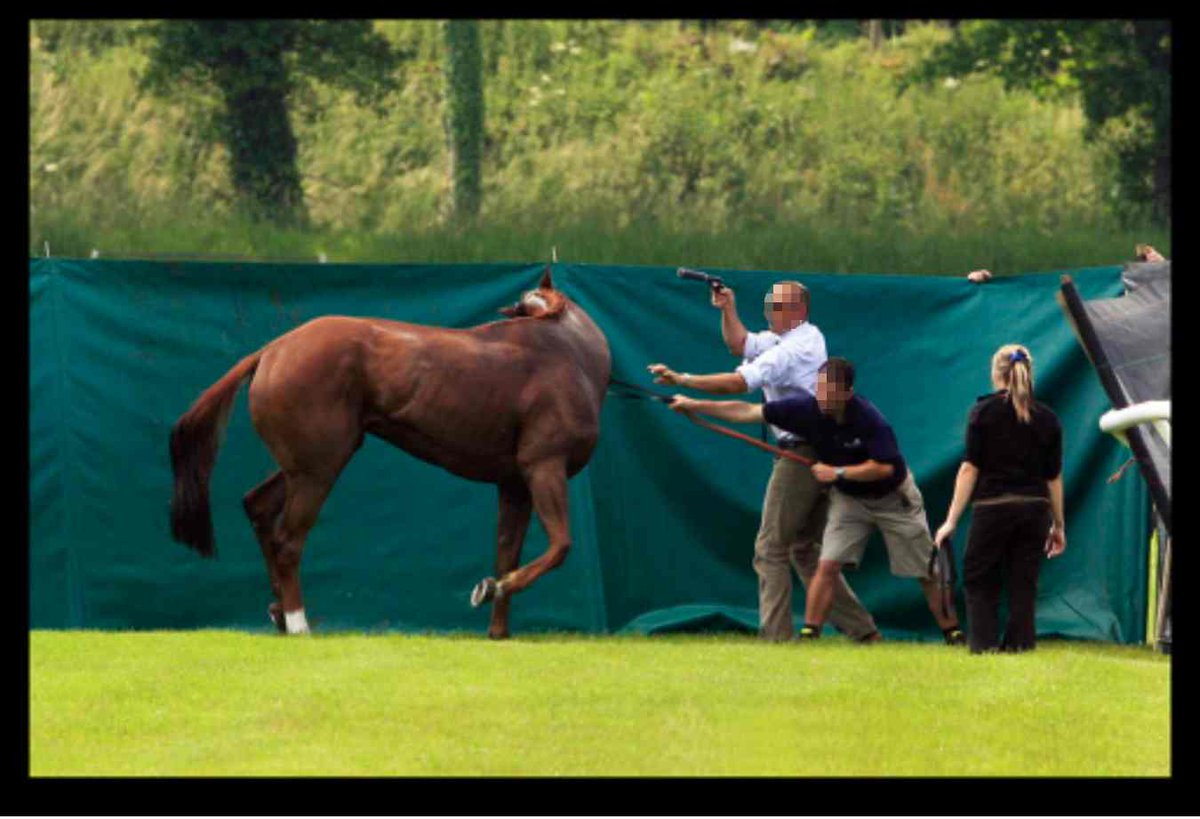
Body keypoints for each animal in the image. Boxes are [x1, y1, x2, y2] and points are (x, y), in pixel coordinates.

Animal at [169, 267, 611, 638]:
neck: (567, 354)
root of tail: (271, 351)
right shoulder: (544, 468)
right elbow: (559, 546)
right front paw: (487, 589)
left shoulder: (514, 485)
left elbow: (507, 554)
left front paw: (497, 626)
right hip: (319, 469)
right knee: (287, 540)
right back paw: (298, 622)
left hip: (302, 466)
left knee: (258, 507)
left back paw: (279, 611)